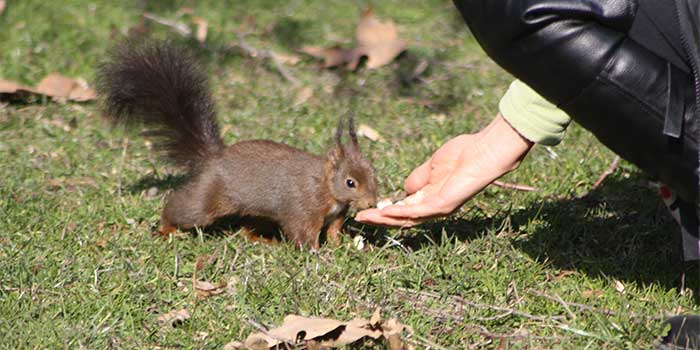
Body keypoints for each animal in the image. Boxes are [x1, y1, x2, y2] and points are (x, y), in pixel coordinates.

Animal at [97, 40, 378, 249]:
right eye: (350, 182)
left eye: (374, 174)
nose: (371, 204)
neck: (326, 187)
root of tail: (213, 157)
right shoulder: (303, 206)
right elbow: (303, 231)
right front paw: (315, 253)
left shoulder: (336, 214)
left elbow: (333, 230)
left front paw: (339, 247)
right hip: (208, 199)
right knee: (183, 208)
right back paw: (166, 227)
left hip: (256, 212)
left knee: (246, 229)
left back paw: (263, 240)